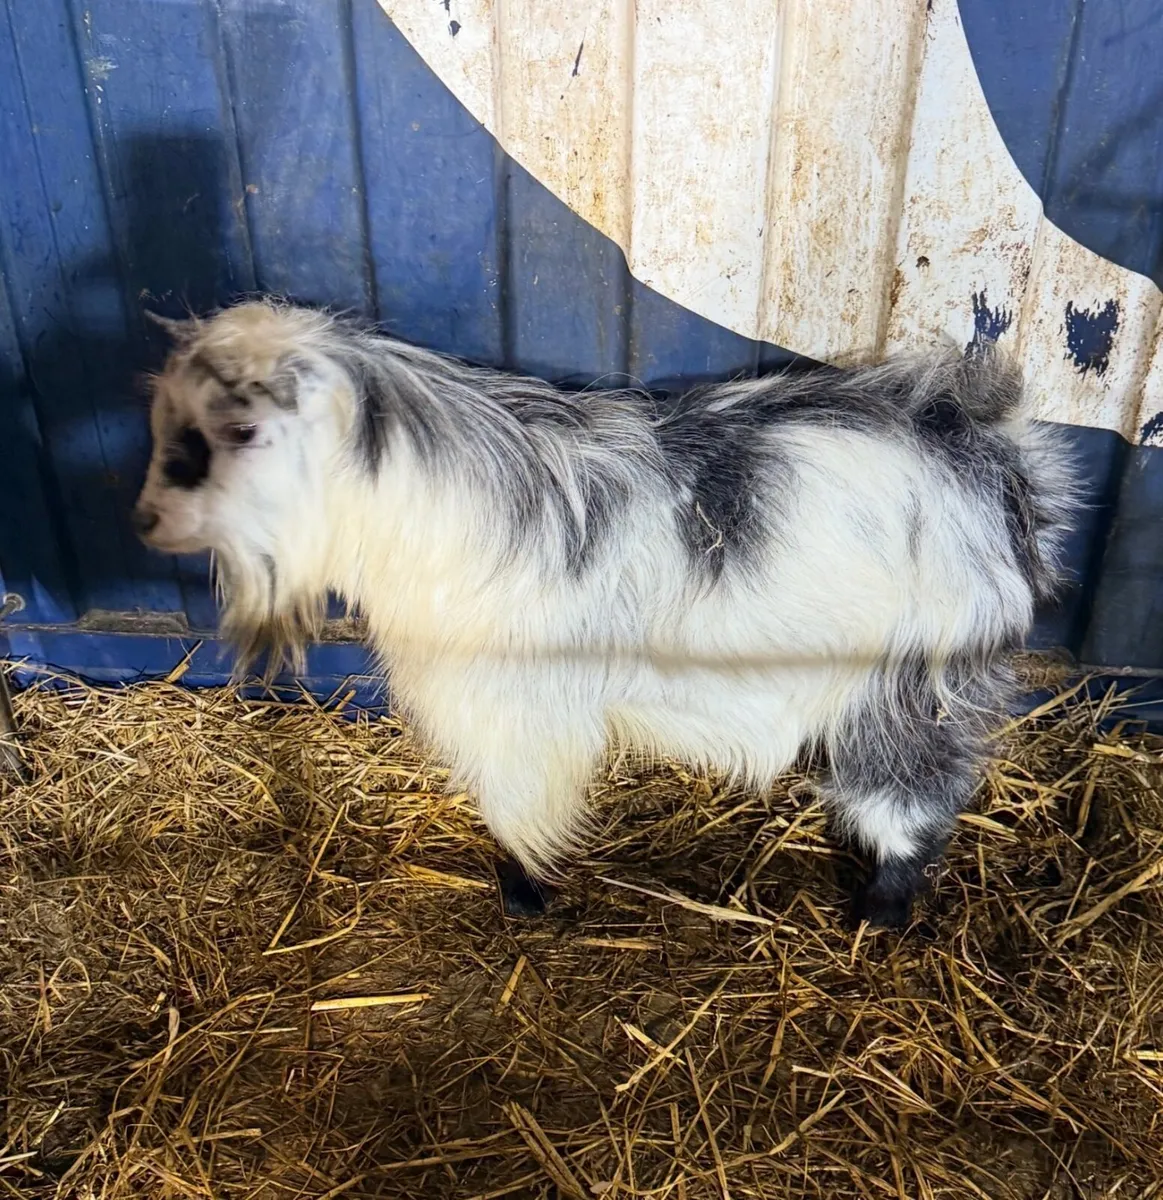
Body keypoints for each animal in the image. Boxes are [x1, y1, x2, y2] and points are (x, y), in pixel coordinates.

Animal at [133, 300, 1075, 928]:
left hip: (914, 676)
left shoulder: (513, 714)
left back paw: (877, 912)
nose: (140, 521)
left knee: (913, 792)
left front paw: (525, 897)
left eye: (218, 440)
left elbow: (518, 811)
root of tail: (1000, 461)